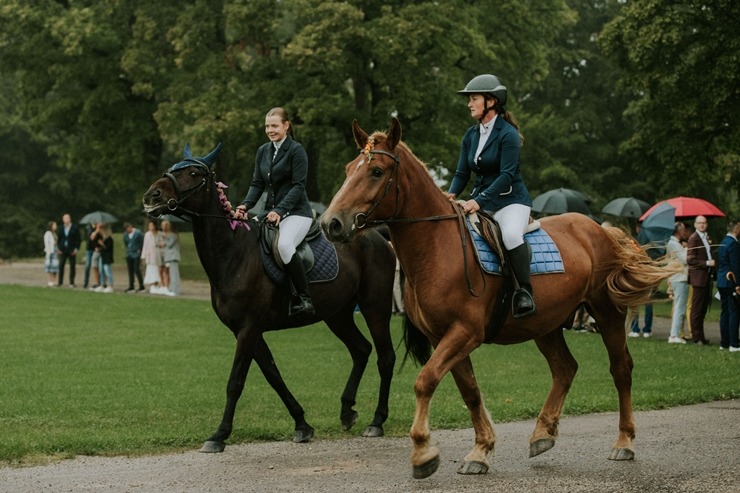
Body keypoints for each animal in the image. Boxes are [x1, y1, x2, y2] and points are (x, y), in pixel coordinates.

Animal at [142, 143, 396, 454]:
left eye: (192, 173)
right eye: (171, 169)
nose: (151, 197)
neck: (234, 253)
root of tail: (377, 234)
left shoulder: (248, 329)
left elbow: (236, 382)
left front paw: (219, 435)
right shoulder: (247, 330)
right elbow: (273, 376)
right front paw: (302, 425)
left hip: (375, 307)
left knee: (385, 357)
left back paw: (377, 421)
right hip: (337, 314)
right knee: (361, 350)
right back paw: (347, 411)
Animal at [320, 117, 672, 478]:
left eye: (376, 171)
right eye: (348, 169)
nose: (330, 223)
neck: (438, 246)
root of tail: (601, 230)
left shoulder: (465, 332)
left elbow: (425, 381)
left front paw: (423, 452)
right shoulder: (442, 336)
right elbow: (470, 391)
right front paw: (481, 449)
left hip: (606, 313)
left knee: (621, 369)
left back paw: (624, 442)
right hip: (546, 324)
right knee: (565, 368)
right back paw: (542, 434)